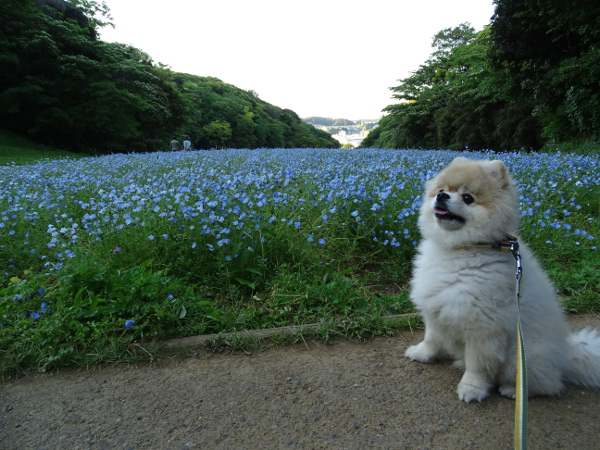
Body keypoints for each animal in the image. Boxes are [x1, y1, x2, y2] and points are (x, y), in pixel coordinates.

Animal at [404, 156, 600, 402]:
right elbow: (431, 338)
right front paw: (421, 353)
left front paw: (471, 388)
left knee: (546, 384)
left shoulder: (484, 328)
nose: (442, 197)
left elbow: (478, 364)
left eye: (467, 198)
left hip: (523, 357)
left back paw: (513, 391)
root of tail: (565, 358)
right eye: (441, 190)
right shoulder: (436, 309)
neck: (461, 249)